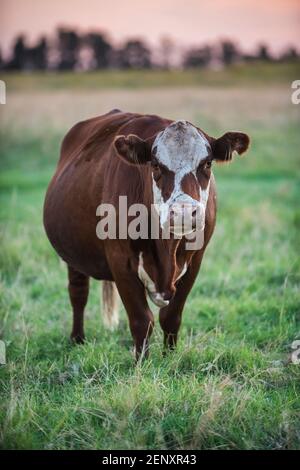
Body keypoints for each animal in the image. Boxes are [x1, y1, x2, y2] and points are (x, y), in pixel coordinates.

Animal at [43, 110, 250, 360]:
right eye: (156, 165)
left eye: (207, 163)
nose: (182, 212)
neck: (167, 248)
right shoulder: (120, 262)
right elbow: (142, 321)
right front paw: (141, 363)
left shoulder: (195, 261)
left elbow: (171, 317)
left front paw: (170, 357)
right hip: (73, 255)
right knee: (78, 293)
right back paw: (77, 340)